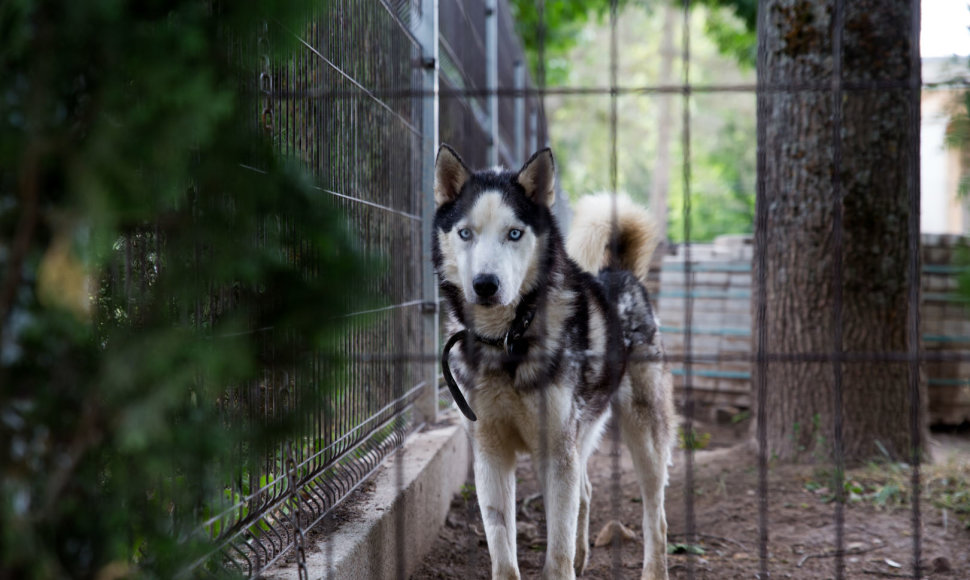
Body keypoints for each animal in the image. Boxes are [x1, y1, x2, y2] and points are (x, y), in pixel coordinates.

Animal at [432, 146, 672, 580]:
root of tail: (621, 273)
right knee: (587, 492)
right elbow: (502, 551)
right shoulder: (491, 453)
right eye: (465, 233)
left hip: (641, 437)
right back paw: (583, 556)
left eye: (514, 233)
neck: (507, 342)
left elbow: (556, 556)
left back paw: (653, 569)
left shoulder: (556, 453)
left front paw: (564, 562)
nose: (485, 285)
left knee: (655, 515)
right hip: (579, 437)